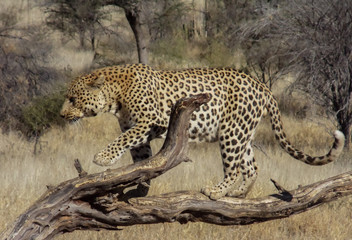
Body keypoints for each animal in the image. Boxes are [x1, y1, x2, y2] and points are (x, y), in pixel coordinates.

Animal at [59, 62, 344, 200]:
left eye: (73, 99)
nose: (61, 114)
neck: (115, 96)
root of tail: (261, 84)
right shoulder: (137, 129)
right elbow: (142, 160)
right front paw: (141, 190)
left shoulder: (153, 121)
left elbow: (123, 139)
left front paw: (102, 158)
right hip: (243, 133)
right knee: (251, 166)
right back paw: (238, 193)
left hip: (231, 132)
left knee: (234, 167)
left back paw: (217, 191)